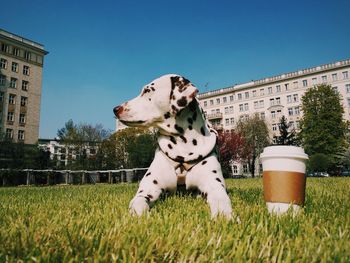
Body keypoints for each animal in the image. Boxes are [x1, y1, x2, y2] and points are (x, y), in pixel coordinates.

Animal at [112, 75, 232, 221]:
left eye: (147, 90)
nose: (115, 109)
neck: (183, 148)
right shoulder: (147, 190)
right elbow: (139, 202)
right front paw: (140, 216)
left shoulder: (215, 186)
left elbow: (221, 200)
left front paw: (224, 216)